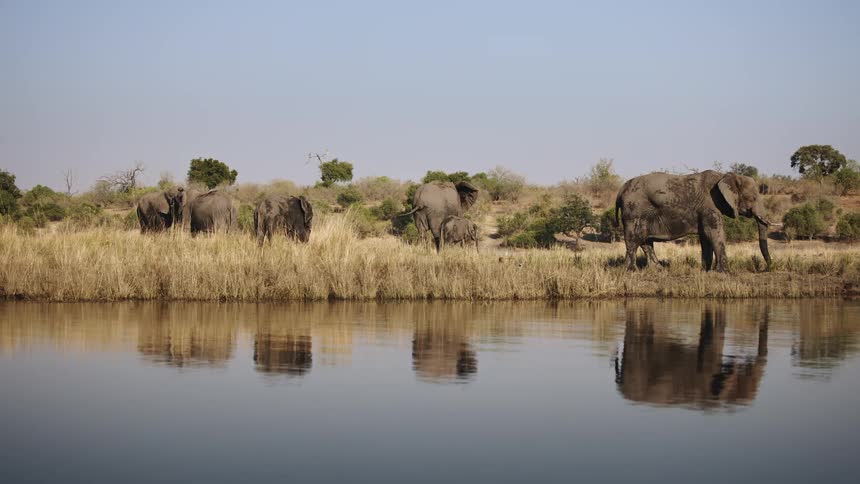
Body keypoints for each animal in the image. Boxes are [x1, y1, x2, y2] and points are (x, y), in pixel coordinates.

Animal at [615, 170, 772, 272]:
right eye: (753, 198)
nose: (765, 268)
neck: (726, 176)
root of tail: (621, 189)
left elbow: (706, 237)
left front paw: (706, 271)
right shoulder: (709, 206)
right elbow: (715, 234)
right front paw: (725, 272)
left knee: (644, 240)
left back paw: (658, 270)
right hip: (634, 210)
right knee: (634, 239)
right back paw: (631, 271)